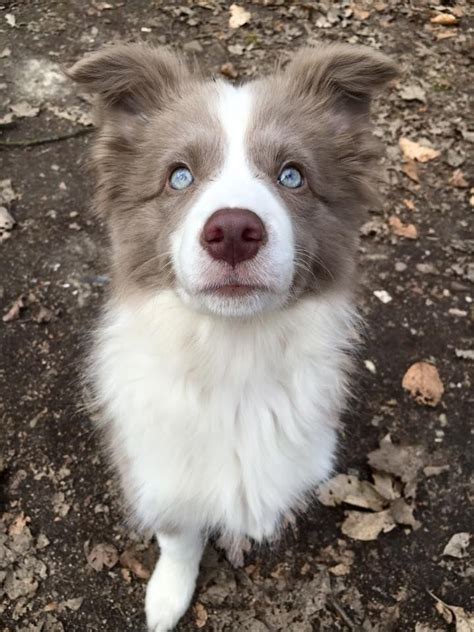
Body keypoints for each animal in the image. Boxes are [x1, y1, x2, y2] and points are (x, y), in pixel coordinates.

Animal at [68, 42, 398, 628]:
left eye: (293, 176)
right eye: (178, 176)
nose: (234, 232)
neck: (232, 352)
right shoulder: (160, 471)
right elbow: (178, 539)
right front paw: (167, 597)